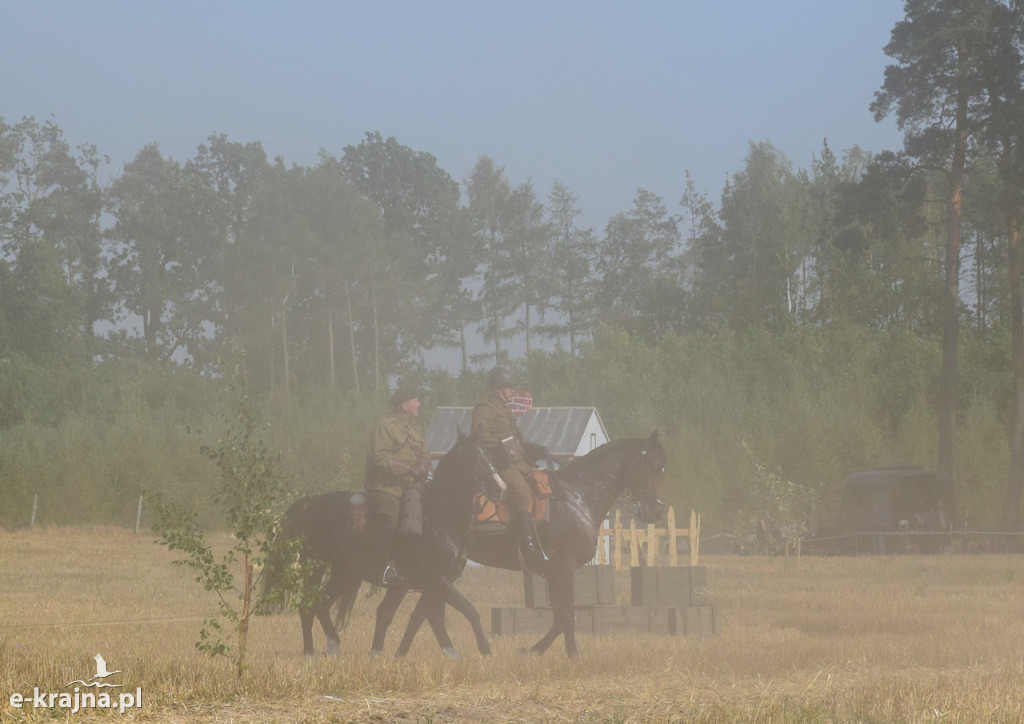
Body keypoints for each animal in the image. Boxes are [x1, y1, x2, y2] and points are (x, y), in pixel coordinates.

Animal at [264, 430, 495, 663]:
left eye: (488, 453)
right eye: (475, 456)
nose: (496, 486)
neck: (441, 519)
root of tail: (307, 505)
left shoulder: (430, 582)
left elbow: (418, 615)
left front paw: (400, 654)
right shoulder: (435, 578)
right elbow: (466, 609)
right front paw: (485, 649)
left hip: (344, 574)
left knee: (321, 605)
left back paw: (333, 644)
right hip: (315, 567)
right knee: (307, 607)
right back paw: (309, 653)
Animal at [395, 434, 667, 659]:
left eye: (663, 467)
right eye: (653, 466)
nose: (656, 512)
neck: (577, 497)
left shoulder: (555, 571)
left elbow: (559, 616)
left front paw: (532, 650)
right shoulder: (564, 567)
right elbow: (566, 615)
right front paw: (573, 655)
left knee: (431, 611)